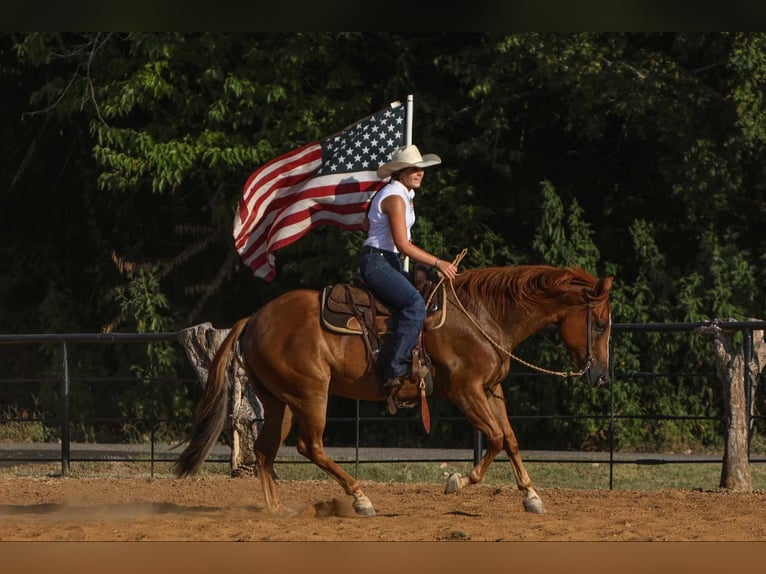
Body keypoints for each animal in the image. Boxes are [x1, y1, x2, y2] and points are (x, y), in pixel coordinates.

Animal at [176, 264, 616, 516]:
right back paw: (360, 499)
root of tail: (254, 318)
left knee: (267, 452)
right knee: (310, 446)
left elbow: (509, 439)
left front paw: (531, 496)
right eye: (599, 324)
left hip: (279, 401)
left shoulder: (492, 390)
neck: (481, 315)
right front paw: (457, 481)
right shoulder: (466, 391)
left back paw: (277, 510)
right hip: (310, 395)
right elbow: (491, 438)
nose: (600, 376)